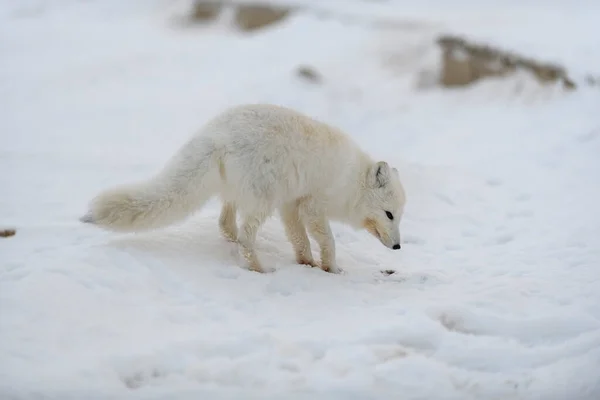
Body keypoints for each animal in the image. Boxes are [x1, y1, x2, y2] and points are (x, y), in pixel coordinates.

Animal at [81, 102, 408, 276]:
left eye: (399, 216)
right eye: (389, 214)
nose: (398, 247)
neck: (352, 181)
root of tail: (214, 134)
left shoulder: (291, 204)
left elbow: (299, 239)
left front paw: (306, 263)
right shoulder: (311, 205)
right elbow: (327, 240)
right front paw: (331, 268)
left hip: (245, 195)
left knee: (225, 223)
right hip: (263, 199)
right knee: (245, 236)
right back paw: (259, 268)